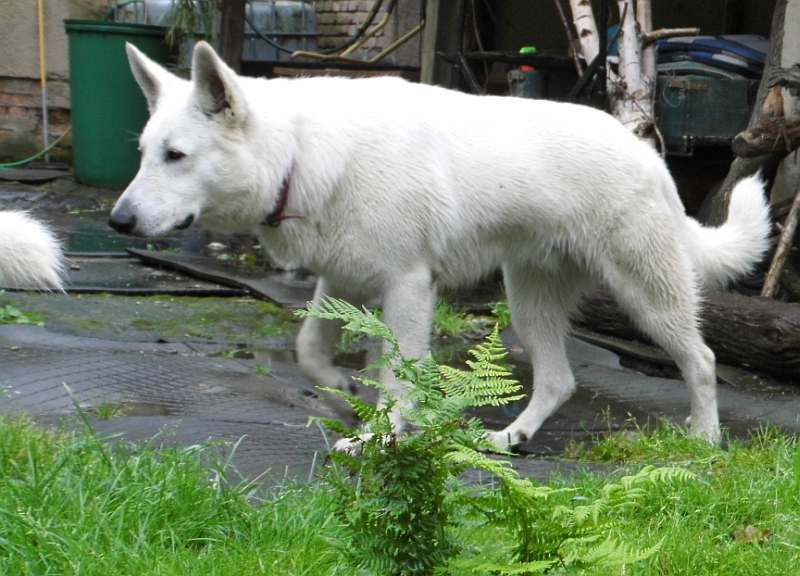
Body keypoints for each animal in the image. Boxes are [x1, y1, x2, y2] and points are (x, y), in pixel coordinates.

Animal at [111, 42, 768, 450]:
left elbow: (399, 377)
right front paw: (350, 393)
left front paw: (377, 436)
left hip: (644, 295)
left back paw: (705, 440)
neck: (298, 152)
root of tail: (649, 154)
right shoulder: (344, 282)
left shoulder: (407, 289)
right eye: (142, 153)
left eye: (176, 156)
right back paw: (512, 438)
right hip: (528, 303)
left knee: (701, 359)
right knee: (559, 381)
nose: (118, 221)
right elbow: (311, 351)